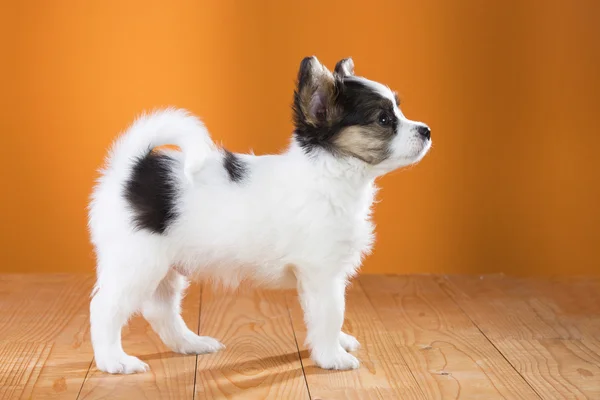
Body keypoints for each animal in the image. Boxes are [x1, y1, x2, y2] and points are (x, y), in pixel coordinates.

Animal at [88, 57, 432, 376]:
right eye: (384, 119)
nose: (427, 130)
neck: (330, 174)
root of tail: (129, 169)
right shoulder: (322, 273)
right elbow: (331, 313)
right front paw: (332, 357)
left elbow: (325, 316)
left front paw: (337, 344)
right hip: (137, 264)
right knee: (103, 308)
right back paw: (114, 361)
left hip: (164, 268)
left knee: (161, 310)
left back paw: (191, 343)